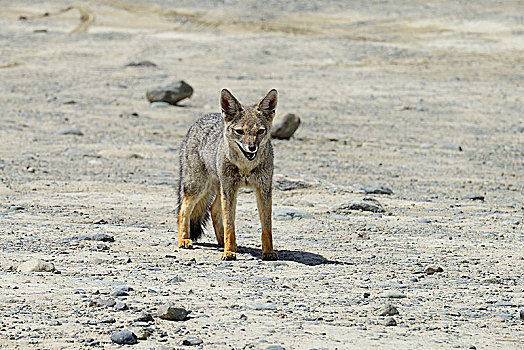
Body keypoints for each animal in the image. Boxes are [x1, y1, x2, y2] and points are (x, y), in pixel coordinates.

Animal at [178, 89, 278, 260]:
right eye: (240, 131)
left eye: (260, 131)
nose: (252, 148)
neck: (246, 167)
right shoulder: (230, 190)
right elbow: (230, 225)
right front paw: (229, 252)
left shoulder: (263, 190)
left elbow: (267, 227)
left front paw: (269, 252)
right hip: (199, 187)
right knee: (184, 210)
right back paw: (184, 240)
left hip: (218, 189)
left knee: (214, 209)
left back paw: (221, 242)